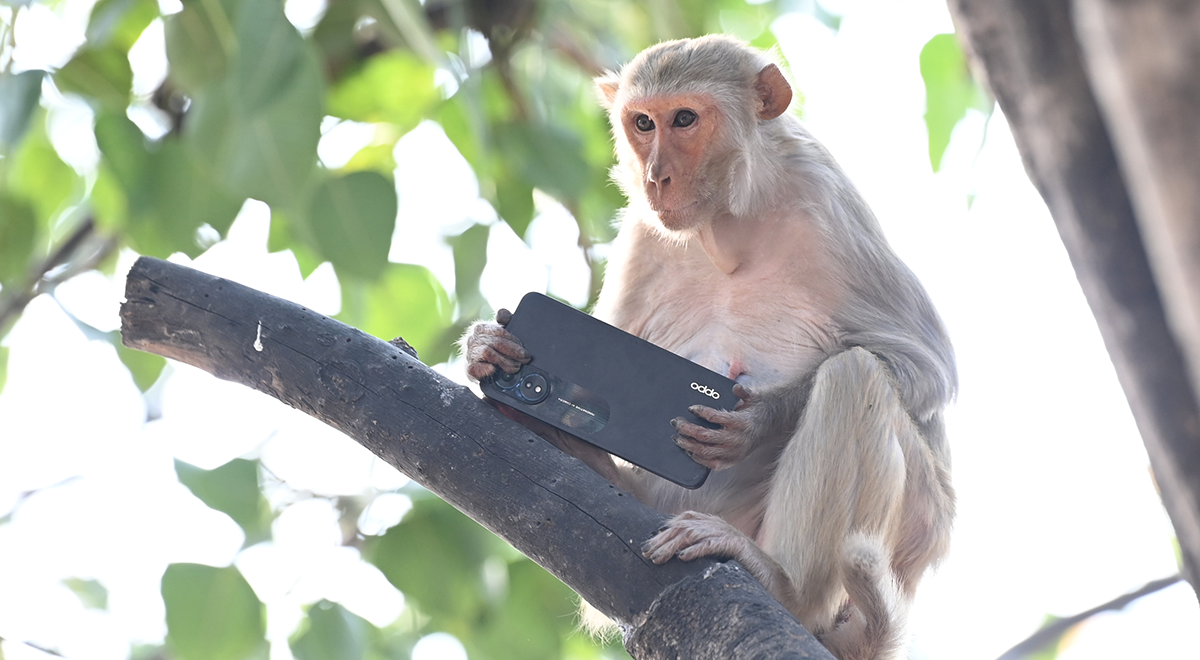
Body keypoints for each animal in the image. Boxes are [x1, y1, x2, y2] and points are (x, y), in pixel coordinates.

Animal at [463, 35, 955, 660]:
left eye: (685, 119)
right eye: (643, 123)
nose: (656, 177)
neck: (731, 223)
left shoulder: (826, 198)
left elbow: (924, 366)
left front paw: (754, 421)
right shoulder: (645, 232)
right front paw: (489, 346)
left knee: (855, 377)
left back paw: (785, 585)